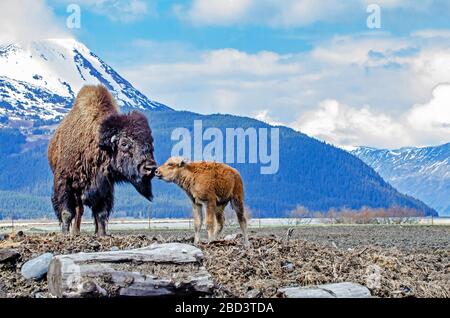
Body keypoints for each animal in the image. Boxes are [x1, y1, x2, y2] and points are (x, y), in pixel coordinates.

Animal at [48, 84, 157, 236]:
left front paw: (102, 234)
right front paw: (65, 234)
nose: (150, 167)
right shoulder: (64, 182)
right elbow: (67, 212)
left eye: (150, 143)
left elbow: (101, 214)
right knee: (77, 210)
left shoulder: (105, 187)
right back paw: (74, 233)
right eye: (124, 143)